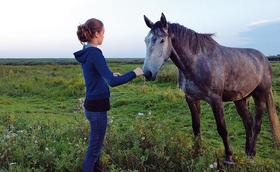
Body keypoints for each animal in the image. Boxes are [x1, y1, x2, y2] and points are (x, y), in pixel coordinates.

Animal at [143, 13, 280, 164]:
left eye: (162, 40)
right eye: (146, 40)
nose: (147, 73)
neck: (196, 63)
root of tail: (264, 59)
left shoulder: (215, 100)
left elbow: (222, 129)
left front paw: (228, 158)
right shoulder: (191, 99)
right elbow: (196, 127)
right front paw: (196, 153)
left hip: (260, 95)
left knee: (257, 125)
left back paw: (251, 154)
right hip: (240, 99)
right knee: (248, 123)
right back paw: (247, 152)